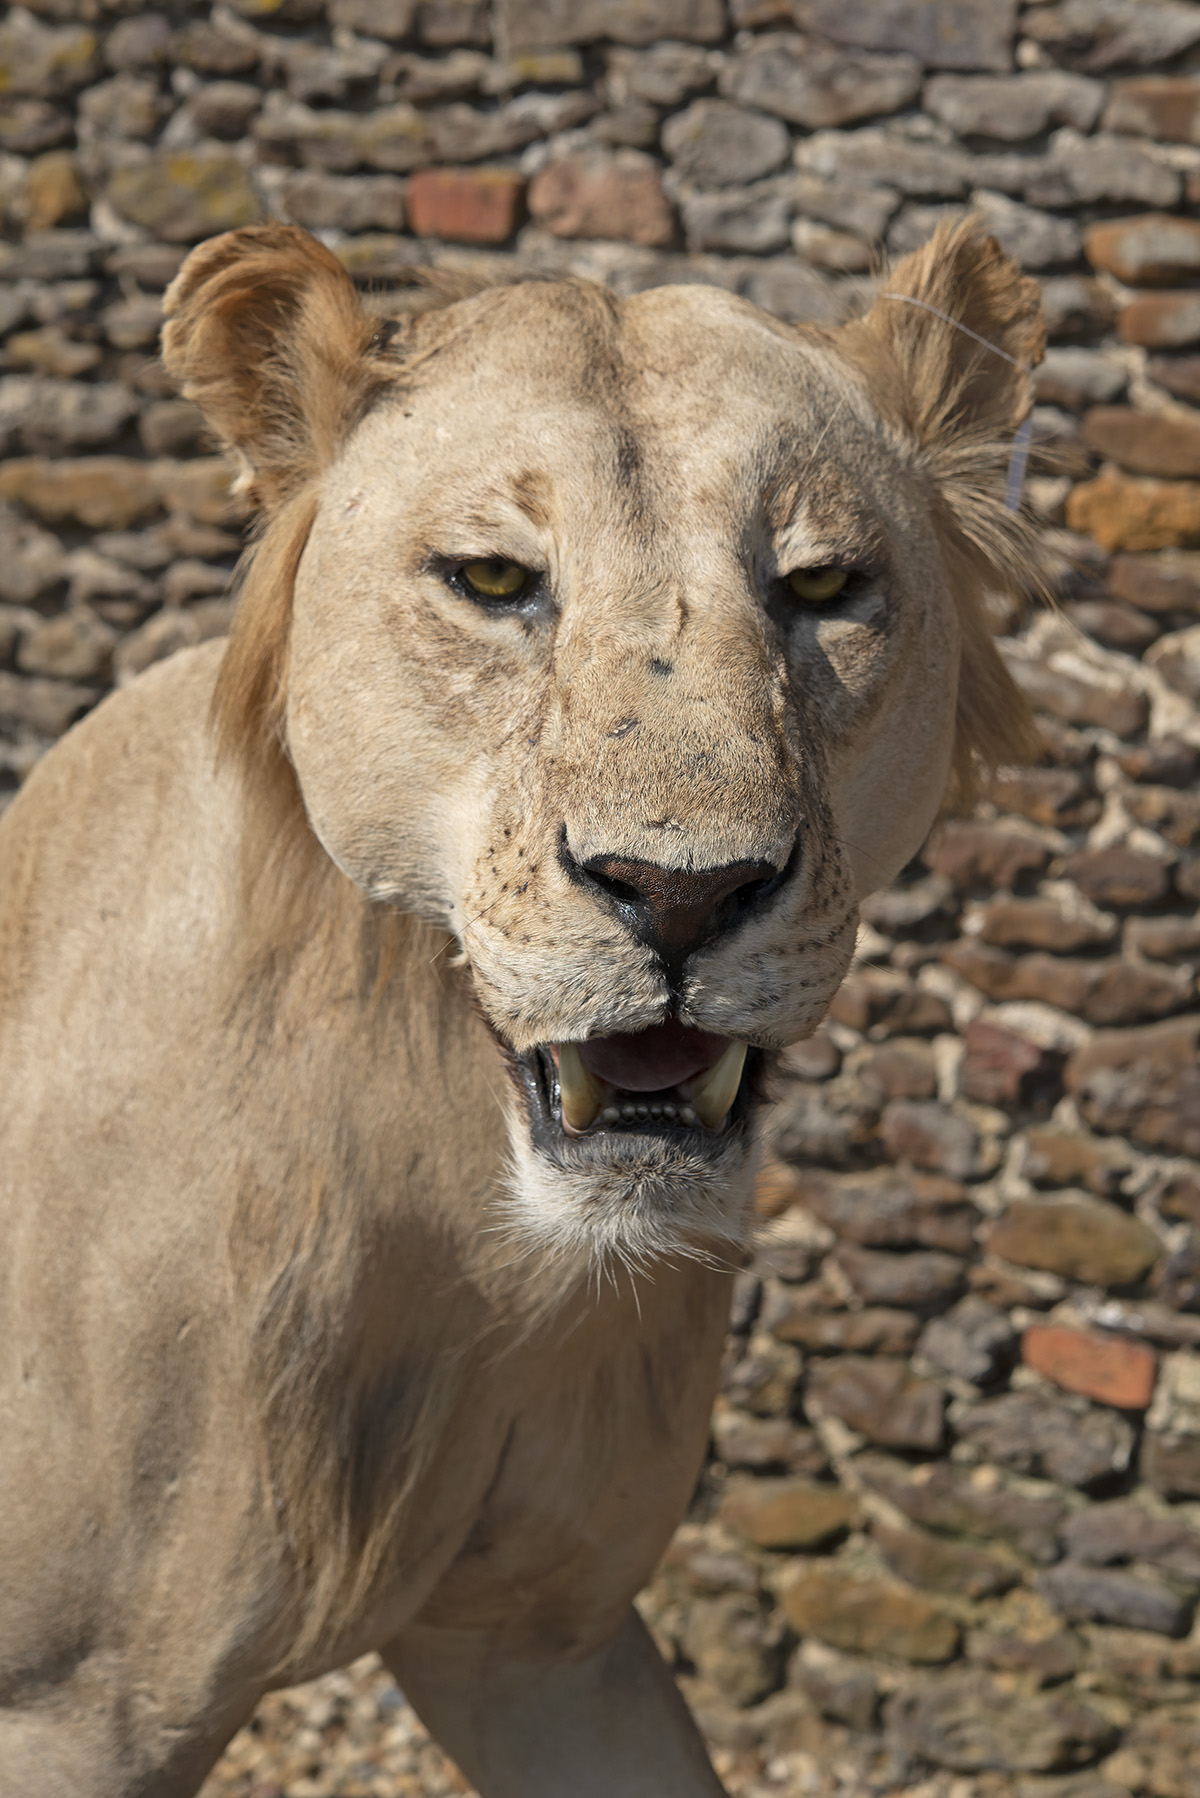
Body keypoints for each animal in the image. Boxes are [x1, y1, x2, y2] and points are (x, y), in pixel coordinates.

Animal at [0, 224, 1036, 1798]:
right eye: (493, 578)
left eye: (823, 586)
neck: (458, 1234)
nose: (682, 891)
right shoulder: (68, 1709)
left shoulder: (546, 1639)